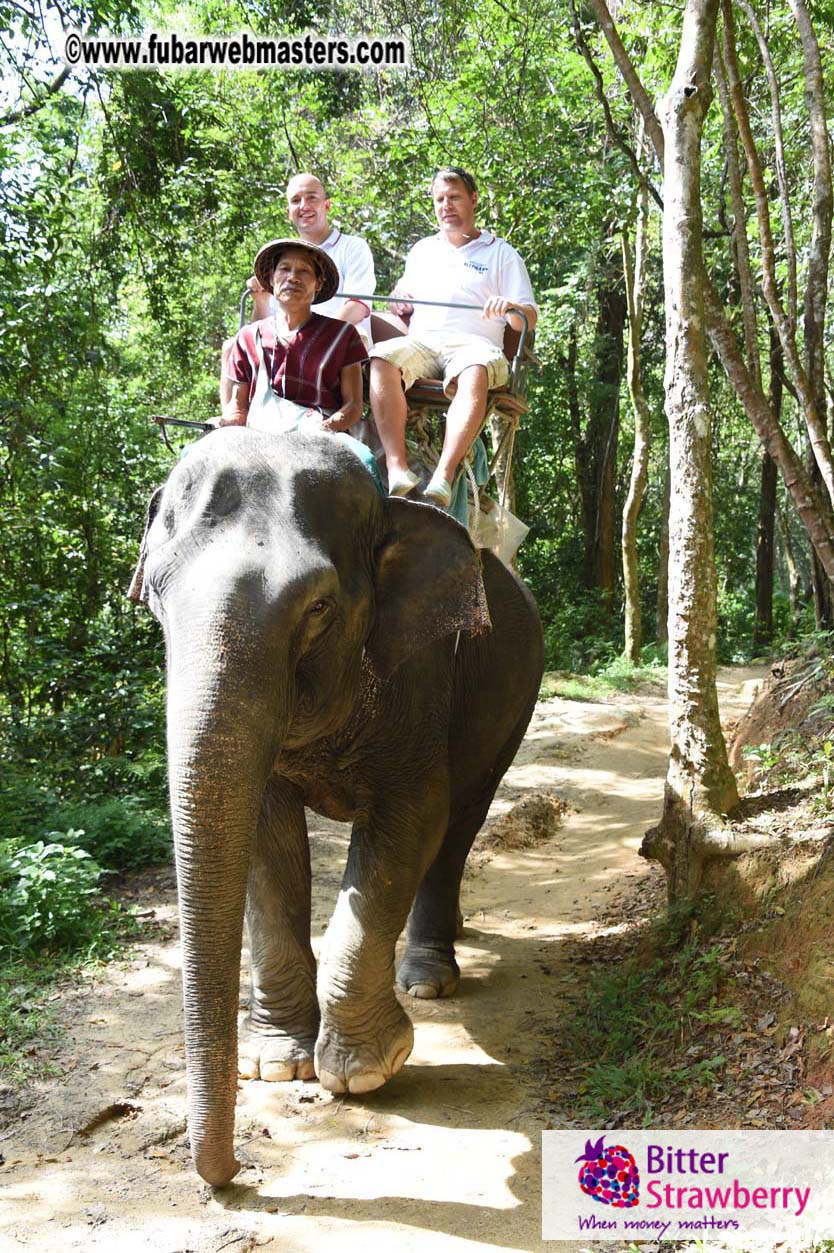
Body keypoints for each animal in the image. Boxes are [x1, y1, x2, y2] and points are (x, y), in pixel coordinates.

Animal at [130, 426, 543, 1186]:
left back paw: (428, 978)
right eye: (158, 598)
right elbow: (267, 841)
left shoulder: (421, 670)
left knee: (460, 822)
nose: (231, 1176)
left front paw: (363, 1073)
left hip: (513, 701)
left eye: (319, 606)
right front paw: (274, 1063)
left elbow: (408, 824)